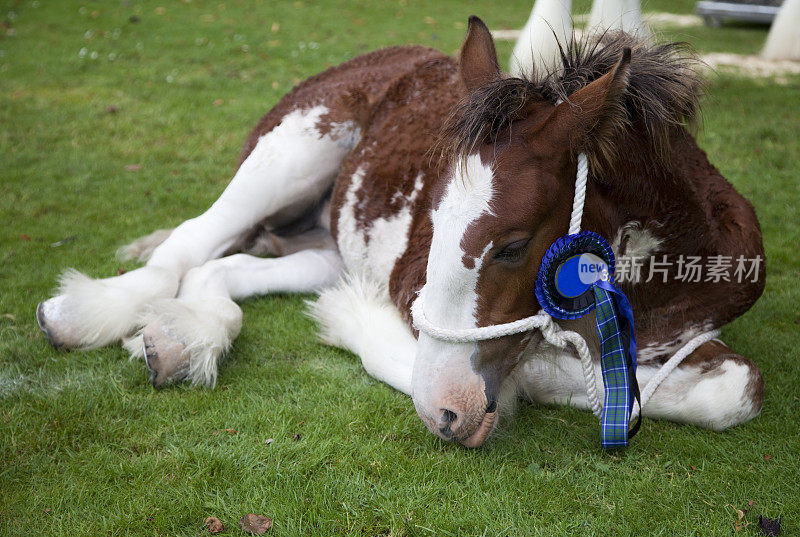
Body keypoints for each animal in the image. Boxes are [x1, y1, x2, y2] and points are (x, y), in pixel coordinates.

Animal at [37, 16, 764, 446]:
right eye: (437, 222)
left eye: (513, 245)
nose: (448, 411)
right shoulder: (415, 295)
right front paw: (351, 320)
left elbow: (730, 390)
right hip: (295, 145)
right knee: (191, 239)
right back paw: (90, 313)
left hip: (325, 244)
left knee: (223, 268)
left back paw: (182, 336)